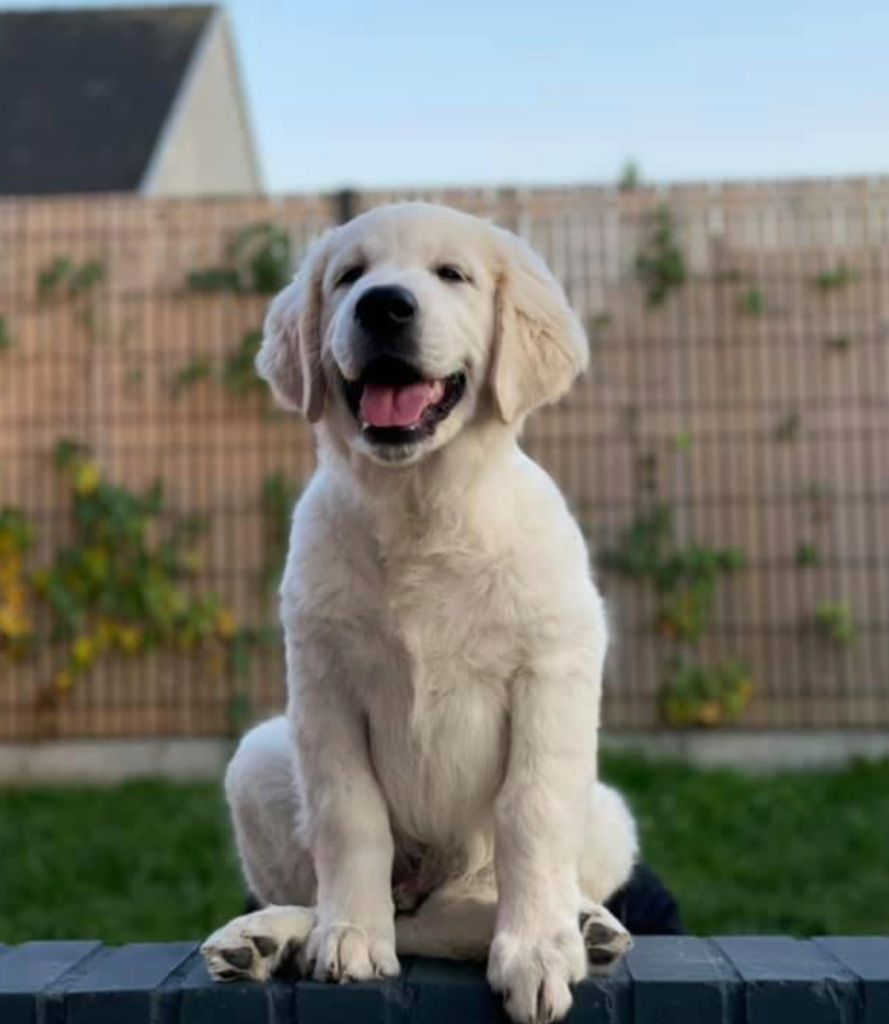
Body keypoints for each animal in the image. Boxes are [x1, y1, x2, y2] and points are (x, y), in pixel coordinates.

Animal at [201, 201, 639, 1024]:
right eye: (349, 276)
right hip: (258, 759)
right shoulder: (324, 685)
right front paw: (348, 934)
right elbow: (350, 817)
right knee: (382, 905)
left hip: (606, 813)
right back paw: (274, 936)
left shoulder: (551, 670)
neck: (420, 512)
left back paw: (581, 926)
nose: (383, 306)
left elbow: (529, 813)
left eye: (452, 275)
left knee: (471, 895)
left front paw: (536, 947)